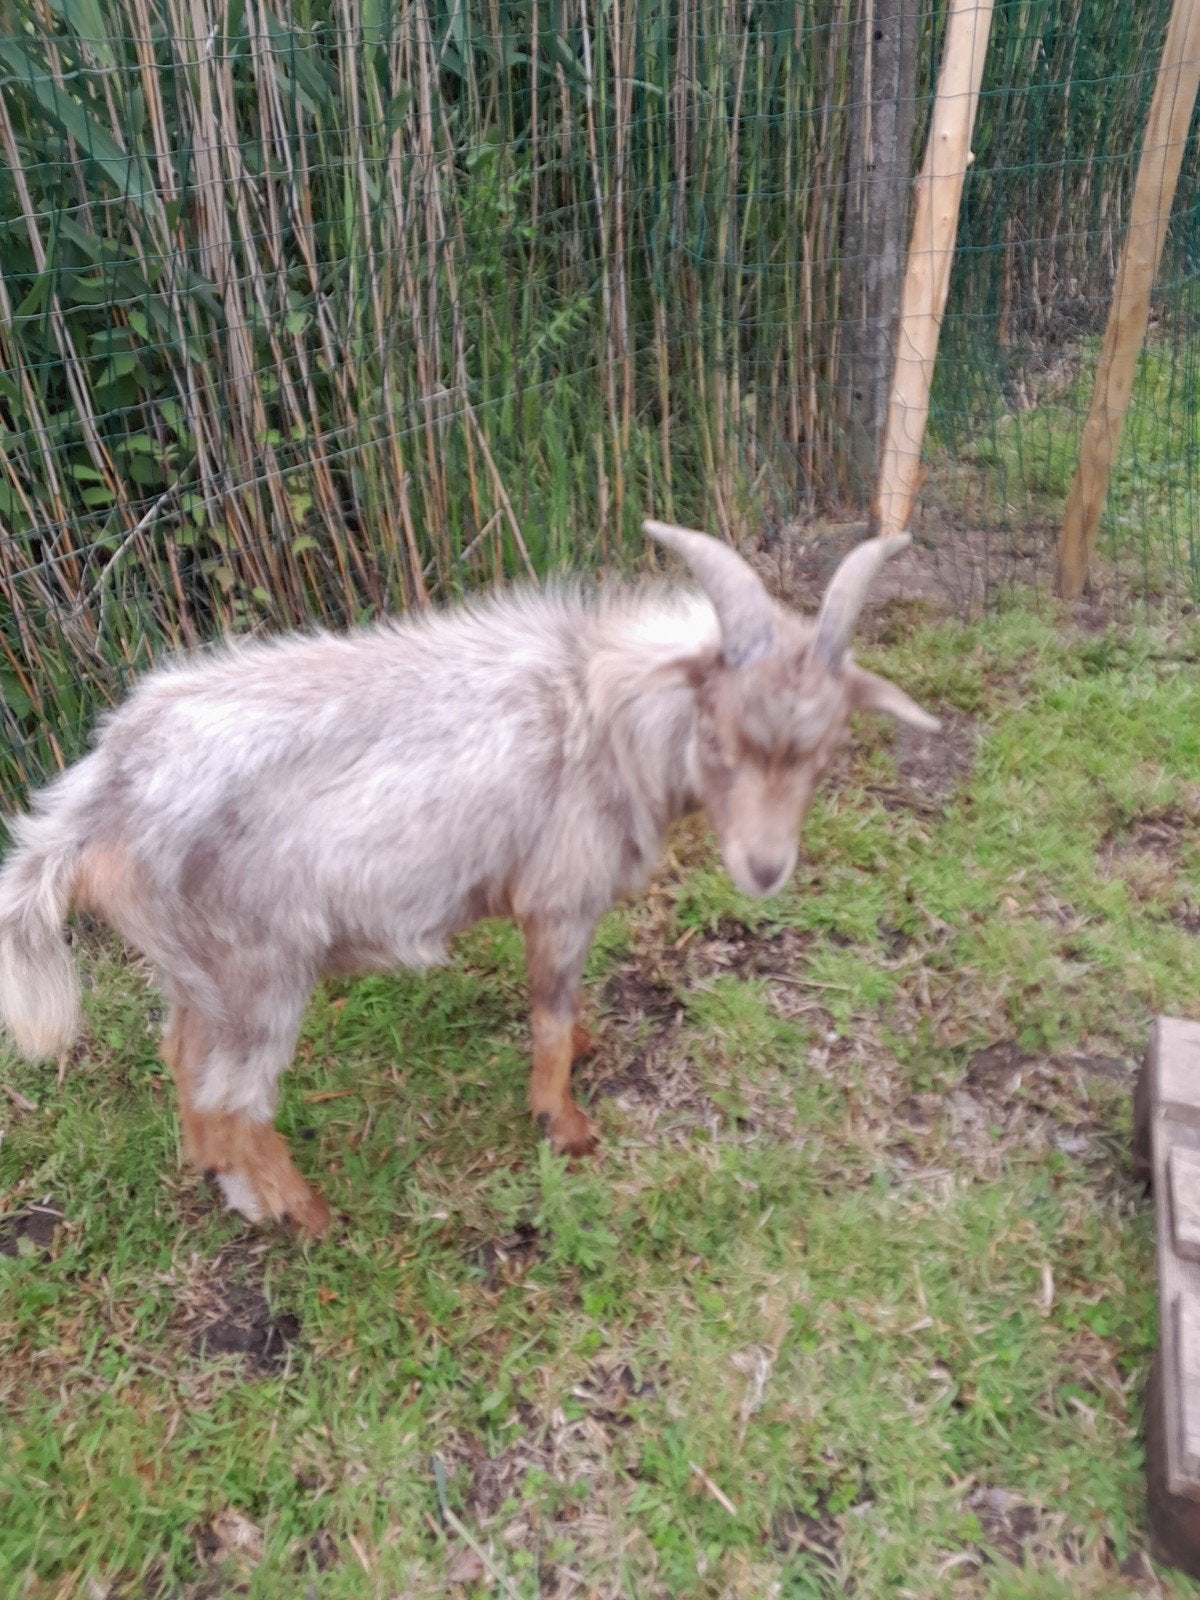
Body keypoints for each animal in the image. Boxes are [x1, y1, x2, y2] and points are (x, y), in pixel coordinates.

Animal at [0, 523, 937, 1235]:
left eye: (824, 749)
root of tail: (101, 794)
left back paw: (222, 1179)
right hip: (257, 972)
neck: (600, 710)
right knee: (237, 1097)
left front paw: (587, 1051)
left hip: (195, 971)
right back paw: (306, 1215)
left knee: (184, 1063)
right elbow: (549, 1014)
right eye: (719, 736)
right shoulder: (559, 896)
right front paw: (564, 1124)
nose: (766, 870)